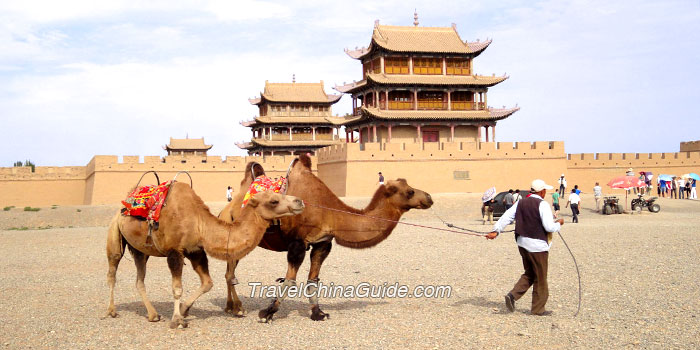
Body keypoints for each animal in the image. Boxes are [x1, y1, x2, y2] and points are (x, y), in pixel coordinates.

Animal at [104, 180, 304, 328]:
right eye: (274, 201)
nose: (299, 201)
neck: (200, 223)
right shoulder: (174, 251)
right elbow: (177, 288)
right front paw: (177, 320)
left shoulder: (196, 250)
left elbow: (208, 283)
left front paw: (184, 309)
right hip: (115, 232)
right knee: (112, 270)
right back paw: (111, 311)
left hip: (140, 250)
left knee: (139, 279)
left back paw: (153, 315)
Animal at [219, 156, 432, 322]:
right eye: (409, 191)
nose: (429, 198)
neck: (329, 212)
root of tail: (226, 210)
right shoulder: (297, 242)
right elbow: (289, 281)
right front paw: (268, 312)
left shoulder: (322, 242)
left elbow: (313, 280)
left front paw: (318, 313)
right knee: (230, 274)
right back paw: (238, 309)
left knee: (230, 273)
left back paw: (231, 307)